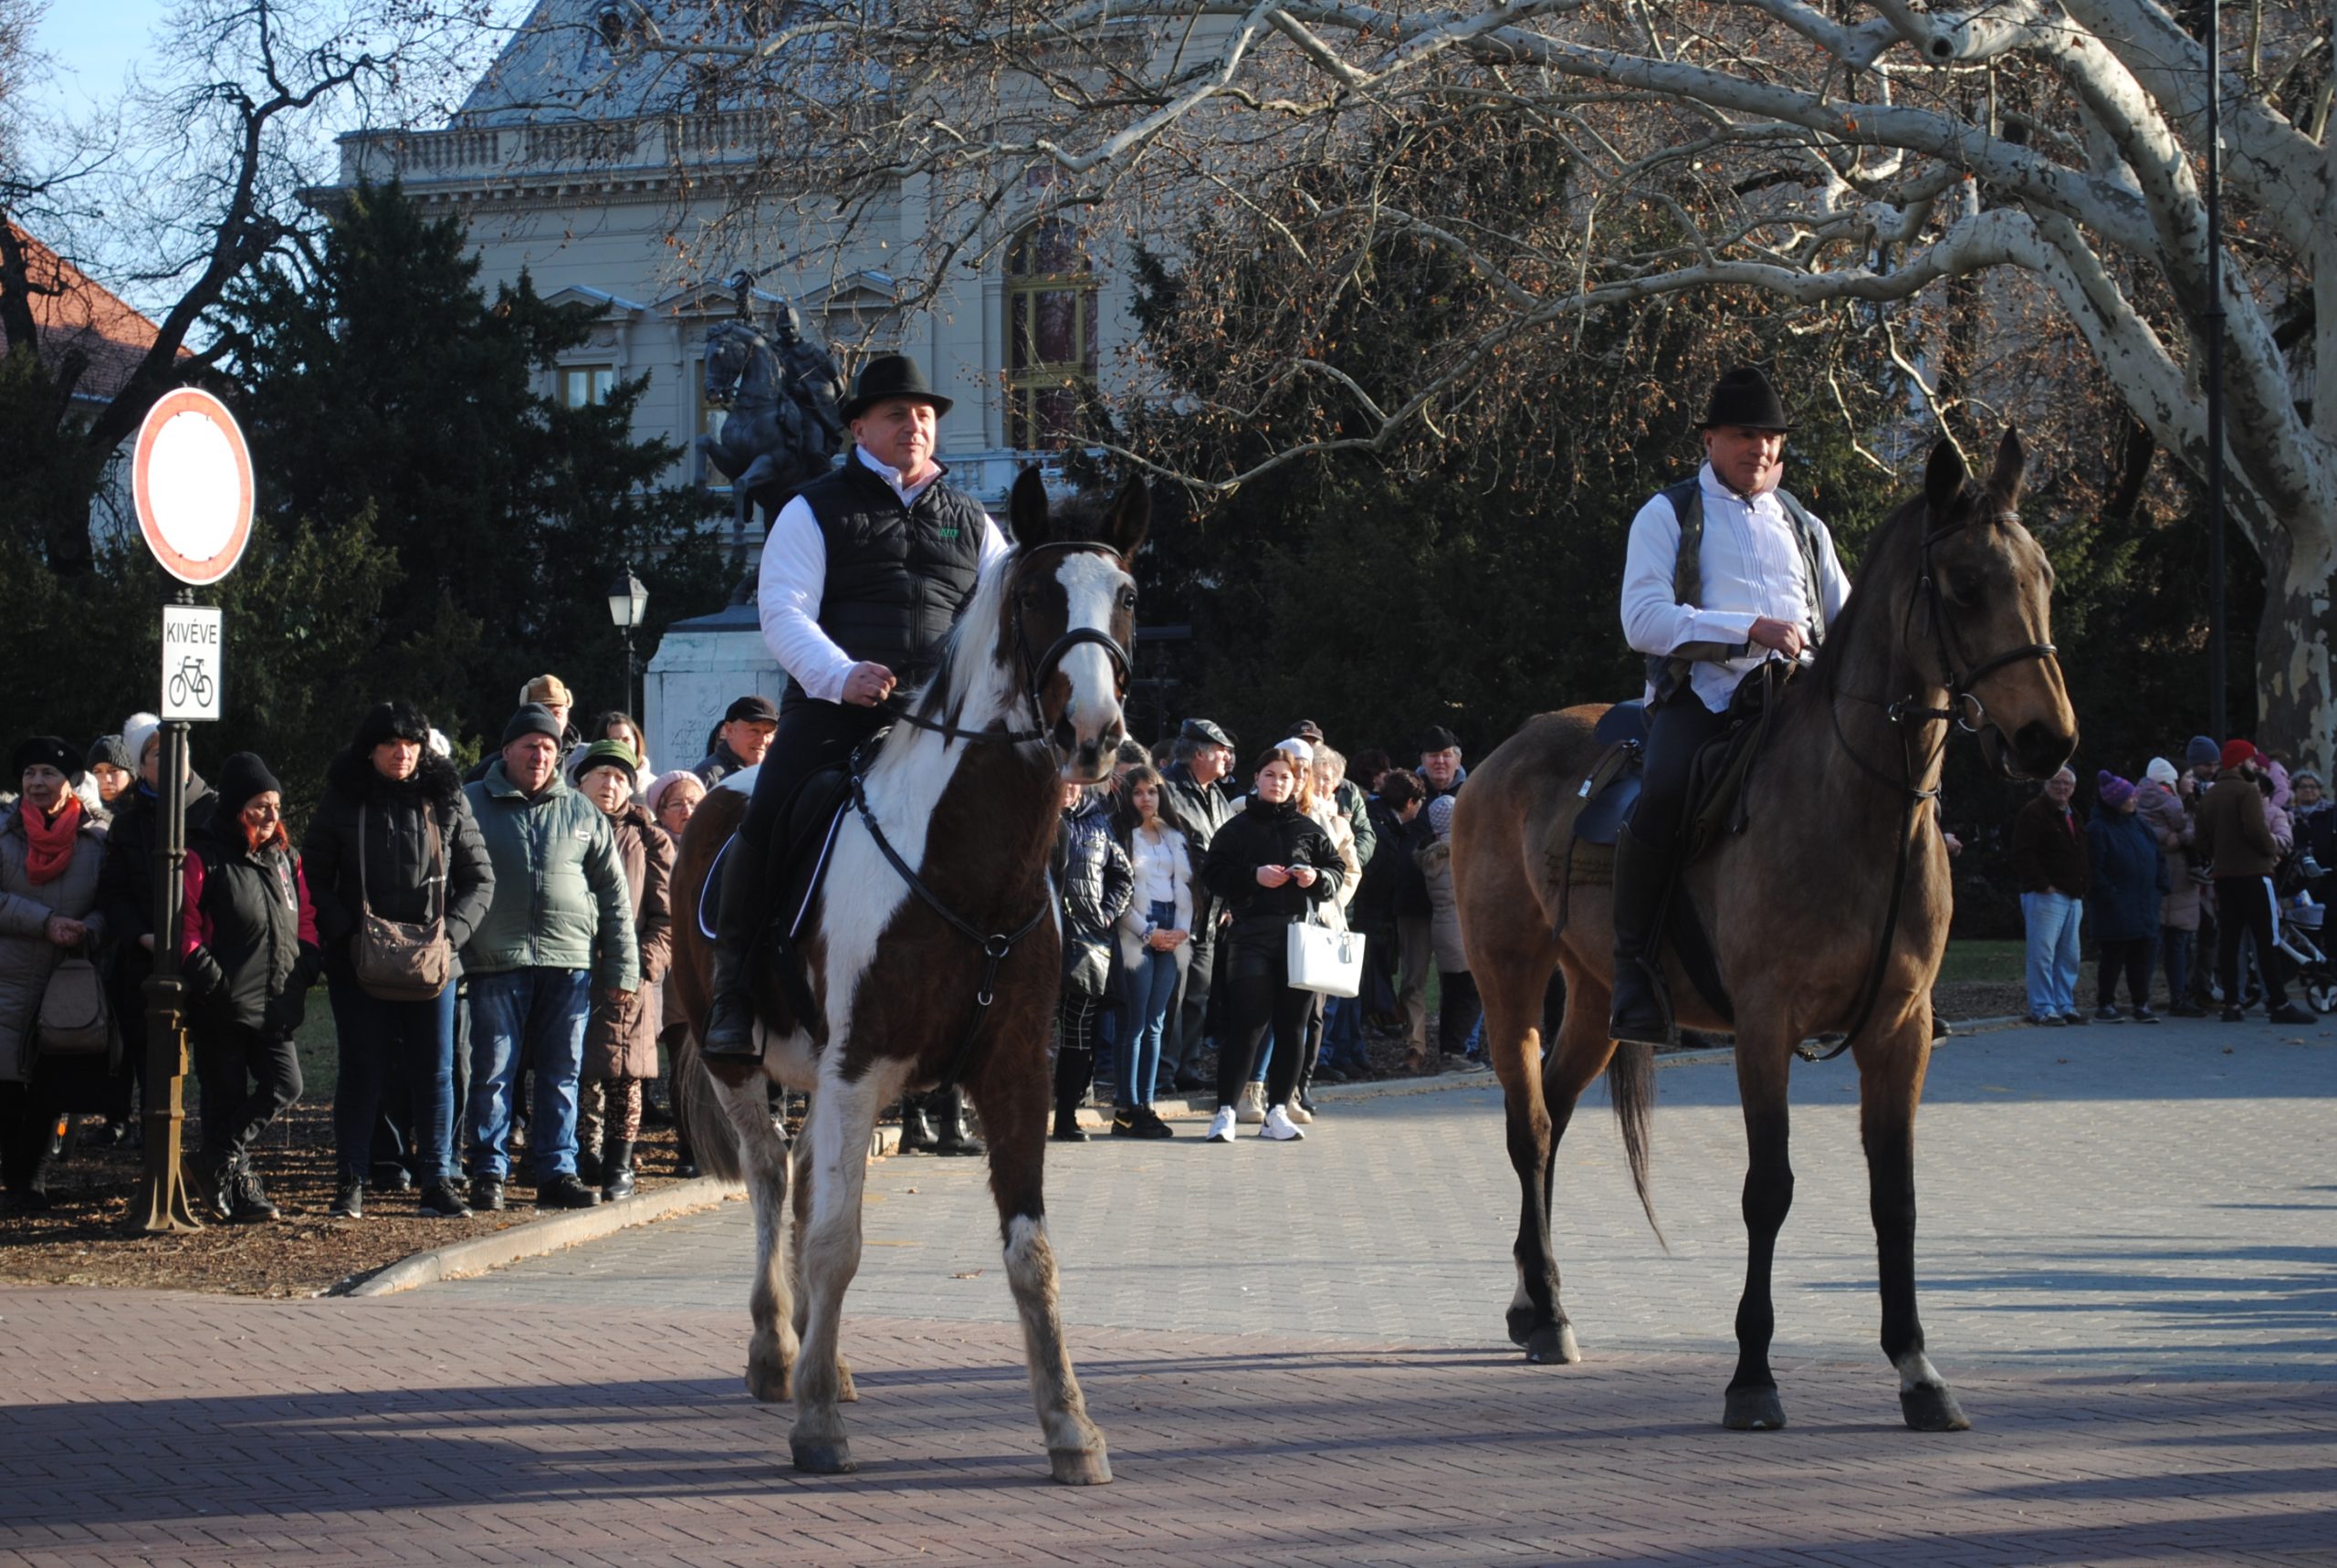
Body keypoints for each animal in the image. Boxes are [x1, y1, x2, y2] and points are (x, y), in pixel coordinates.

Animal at [664, 467, 1145, 1486]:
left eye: (1124, 596)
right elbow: (837, 1242)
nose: (1092, 733)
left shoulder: (1012, 1074)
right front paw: (813, 1424)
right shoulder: (859, 1067)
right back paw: (779, 1354)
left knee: (805, 1181)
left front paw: (1070, 1426)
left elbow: (1031, 1253)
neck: (968, 866)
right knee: (772, 1181)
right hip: (740, 1065)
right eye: (1036, 596)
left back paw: (825, 1357)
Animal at [1449, 432, 2075, 1439]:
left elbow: (1894, 1196)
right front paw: (1750, 1374)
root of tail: (1500, 756)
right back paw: (1546, 1312)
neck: (1855, 808)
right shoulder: (1764, 1026)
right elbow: (1768, 1189)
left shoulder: (1899, 1029)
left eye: (2044, 576)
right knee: (1531, 1127)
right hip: (1508, 977)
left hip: (1597, 993)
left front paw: (1918, 1368)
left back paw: (1532, 1300)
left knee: (1554, 1111)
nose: (2047, 741)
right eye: (1965, 584)